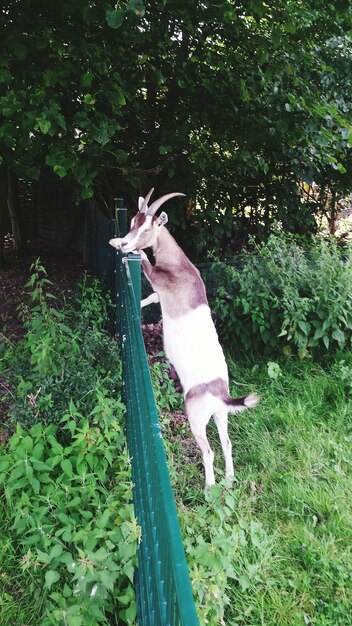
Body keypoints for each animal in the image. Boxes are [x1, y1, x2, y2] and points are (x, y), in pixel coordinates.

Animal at [108, 188, 260, 486]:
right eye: (132, 221)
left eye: (148, 227)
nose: (126, 242)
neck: (180, 266)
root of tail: (219, 394)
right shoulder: (160, 294)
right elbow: (151, 299)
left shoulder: (159, 280)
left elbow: (145, 263)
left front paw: (118, 244)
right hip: (221, 415)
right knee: (227, 443)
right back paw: (229, 480)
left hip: (196, 417)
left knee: (209, 451)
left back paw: (210, 488)